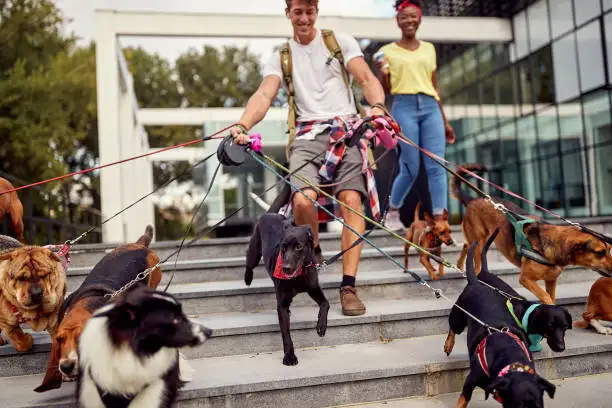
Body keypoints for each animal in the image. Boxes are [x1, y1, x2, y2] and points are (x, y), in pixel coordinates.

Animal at [245, 214, 330, 366]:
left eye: (298, 246)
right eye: (283, 247)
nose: (285, 268)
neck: (298, 275)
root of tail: (270, 214)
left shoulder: (314, 288)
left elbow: (326, 303)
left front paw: (321, 326)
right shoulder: (282, 305)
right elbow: (286, 333)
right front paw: (289, 357)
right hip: (254, 252)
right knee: (249, 262)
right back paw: (247, 279)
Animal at [444, 231, 556, 406]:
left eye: (540, 405)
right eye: (518, 406)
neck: (511, 363)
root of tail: (476, 282)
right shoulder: (471, 379)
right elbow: (463, 400)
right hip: (459, 317)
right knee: (452, 328)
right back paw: (448, 345)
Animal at [452, 164, 612, 304]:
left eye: (609, 250)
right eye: (600, 252)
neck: (552, 243)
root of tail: (473, 199)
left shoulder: (550, 280)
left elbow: (551, 297)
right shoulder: (526, 279)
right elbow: (546, 297)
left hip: (474, 238)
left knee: (466, 244)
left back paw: (459, 266)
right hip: (479, 242)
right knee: (475, 261)